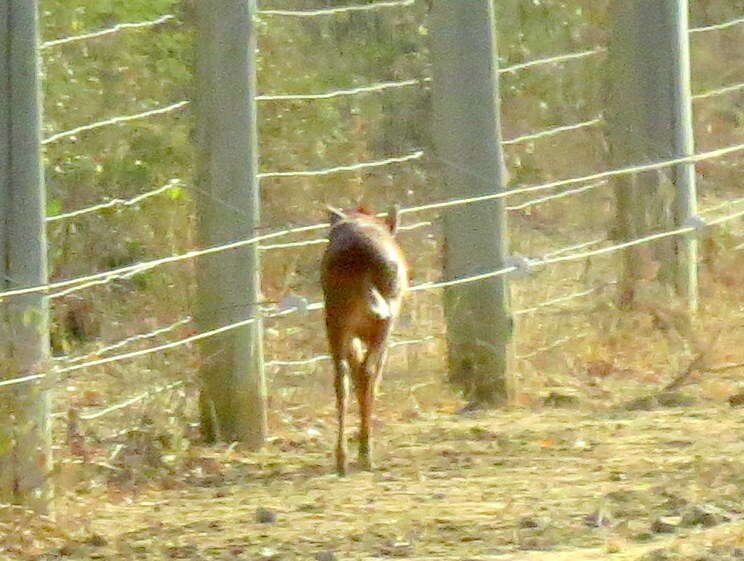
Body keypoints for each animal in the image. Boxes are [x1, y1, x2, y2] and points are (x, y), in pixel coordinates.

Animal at [322, 203, 410, 474]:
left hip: (335, 316)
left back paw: (341, 458)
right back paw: (365, 454)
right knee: (369, 373)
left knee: (342, 377)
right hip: (385, 318)